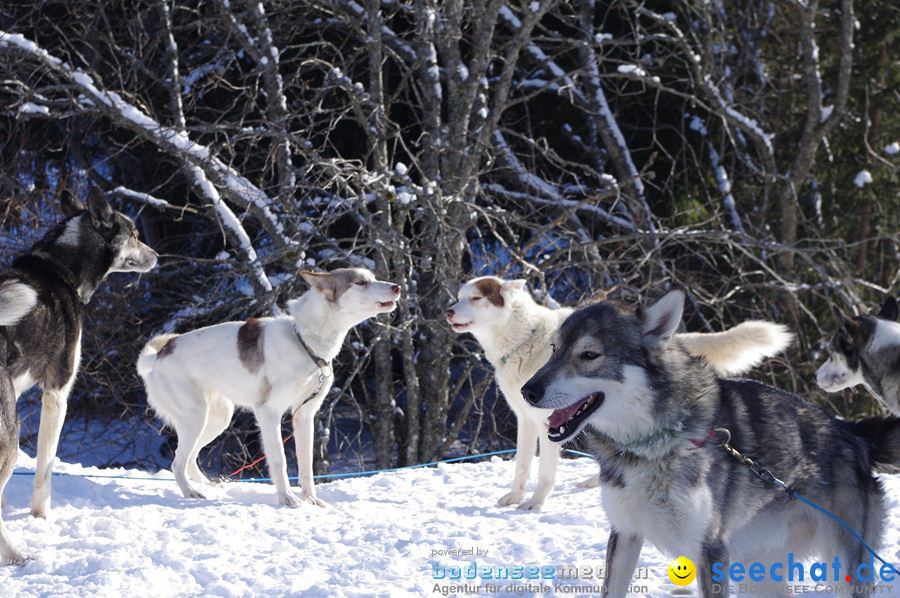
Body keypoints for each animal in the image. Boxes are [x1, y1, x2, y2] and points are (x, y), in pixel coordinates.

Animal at [137, 270, 398, 508]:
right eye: (361, 282)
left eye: (372, 277)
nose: (397, 287)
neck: (304, 340)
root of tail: (159, 356)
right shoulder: (268, 413)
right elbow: (280, 461)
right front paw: (288, 499)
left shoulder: (305, 415)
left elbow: (305, 463)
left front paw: (311, 500)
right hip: (195, 417)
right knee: (177, 462)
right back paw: (191, 492)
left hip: (217, 418)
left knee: (190, 457)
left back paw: (206, 485)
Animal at [446, 278, 792, 512]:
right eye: (460, 296)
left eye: (475, 297)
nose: (448, 311)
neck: (523, 339)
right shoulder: (526, 421)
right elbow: (521, 465)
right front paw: (515, 497)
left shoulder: (546, 425)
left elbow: (544, 472)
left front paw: (534, 503)